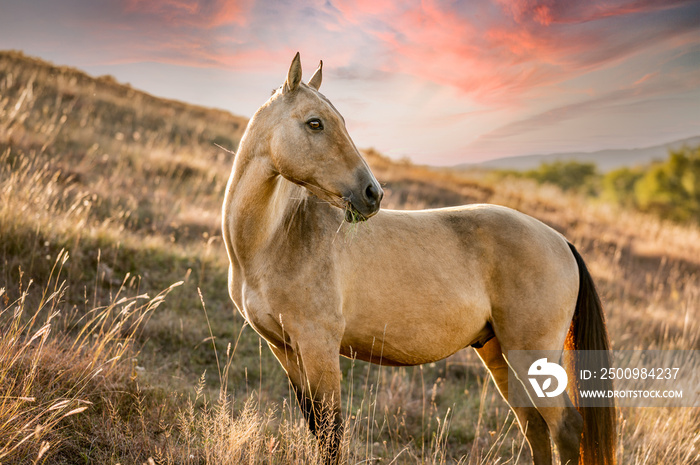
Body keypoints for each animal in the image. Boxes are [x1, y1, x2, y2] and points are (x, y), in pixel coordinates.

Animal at [221, 53, 616, 464]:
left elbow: (331, 436)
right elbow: (318, 429)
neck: (275, 238)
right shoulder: (284, 350)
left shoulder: (319, 348)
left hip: (529, 353)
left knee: (565, 427)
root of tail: (561, 241)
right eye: (315, 122)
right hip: (498, 352)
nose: (372, 194)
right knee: (534, 425)